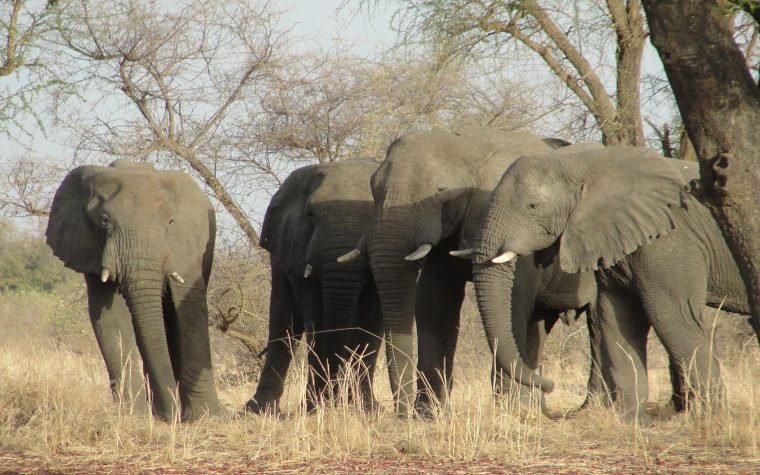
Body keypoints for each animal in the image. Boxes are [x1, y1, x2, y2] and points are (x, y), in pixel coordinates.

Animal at [46, 161, 223, 424]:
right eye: (104, 220)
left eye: (171, 222)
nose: (171, 418)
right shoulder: (90, 249)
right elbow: (110, 318)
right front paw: (134, 416)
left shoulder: (187, 245)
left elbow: (189, 309)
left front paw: (207, 418)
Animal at [245, 158, 382, 414]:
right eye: (310, 215)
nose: (336, 399)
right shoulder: (300, 249)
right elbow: (316, 318)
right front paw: (314, 408)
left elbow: (372, 323)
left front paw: (366, 408)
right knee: (283, 322)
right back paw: (260, 409)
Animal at [338, 129, 600, 416]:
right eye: (374, 191)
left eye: (441, 192)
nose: (400, 414)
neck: (470, 146)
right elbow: (433, 301)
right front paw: (428, 415)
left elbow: (513, 303)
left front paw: (507, 412)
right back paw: (536, 407)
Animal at [476, 145, 756, 424]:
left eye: (532, 206)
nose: (550, 384)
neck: (585, 161)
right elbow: (618, 317)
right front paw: (631, 422)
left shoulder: (670, 241)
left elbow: (673, 317)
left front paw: (713, 421)